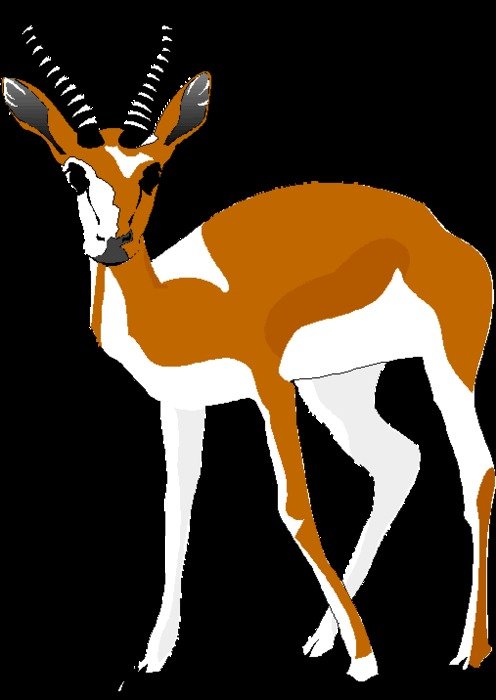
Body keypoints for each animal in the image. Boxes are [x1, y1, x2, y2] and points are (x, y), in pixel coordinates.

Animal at [2, 24, 493, 683]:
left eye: (152, 173)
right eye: (74, 174)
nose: (112, 244)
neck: (178, 305)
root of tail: (445, 235)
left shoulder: (269, 385)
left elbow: (295, 508)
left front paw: (367, 659)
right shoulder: (180, 404)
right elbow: (176, 508)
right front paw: (153, 656)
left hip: (447, 366)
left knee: (477, 472)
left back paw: (469, 650)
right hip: (339, 387)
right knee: (399, 460)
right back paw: (324, 637)